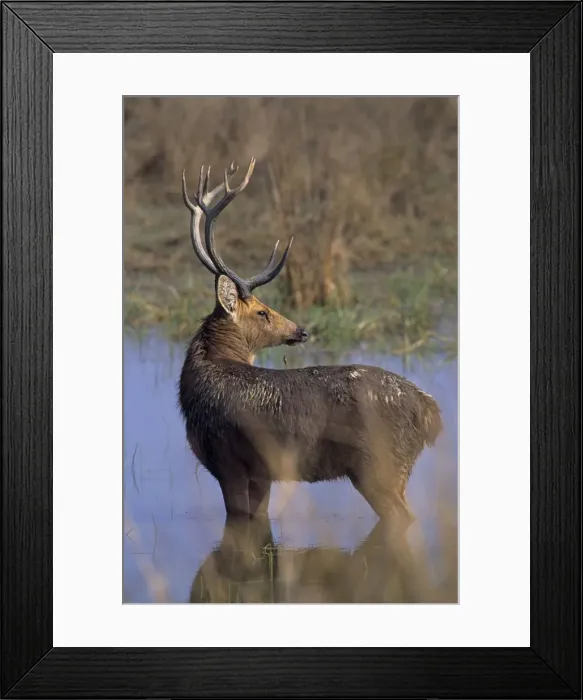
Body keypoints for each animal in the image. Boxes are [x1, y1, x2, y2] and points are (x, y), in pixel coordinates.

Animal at [178, 157, 443, 529]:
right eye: (262, 312)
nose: (300, 330)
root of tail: (430, 411)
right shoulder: (260, 473)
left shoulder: (228, 463)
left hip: (380, 466)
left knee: (402, 518)